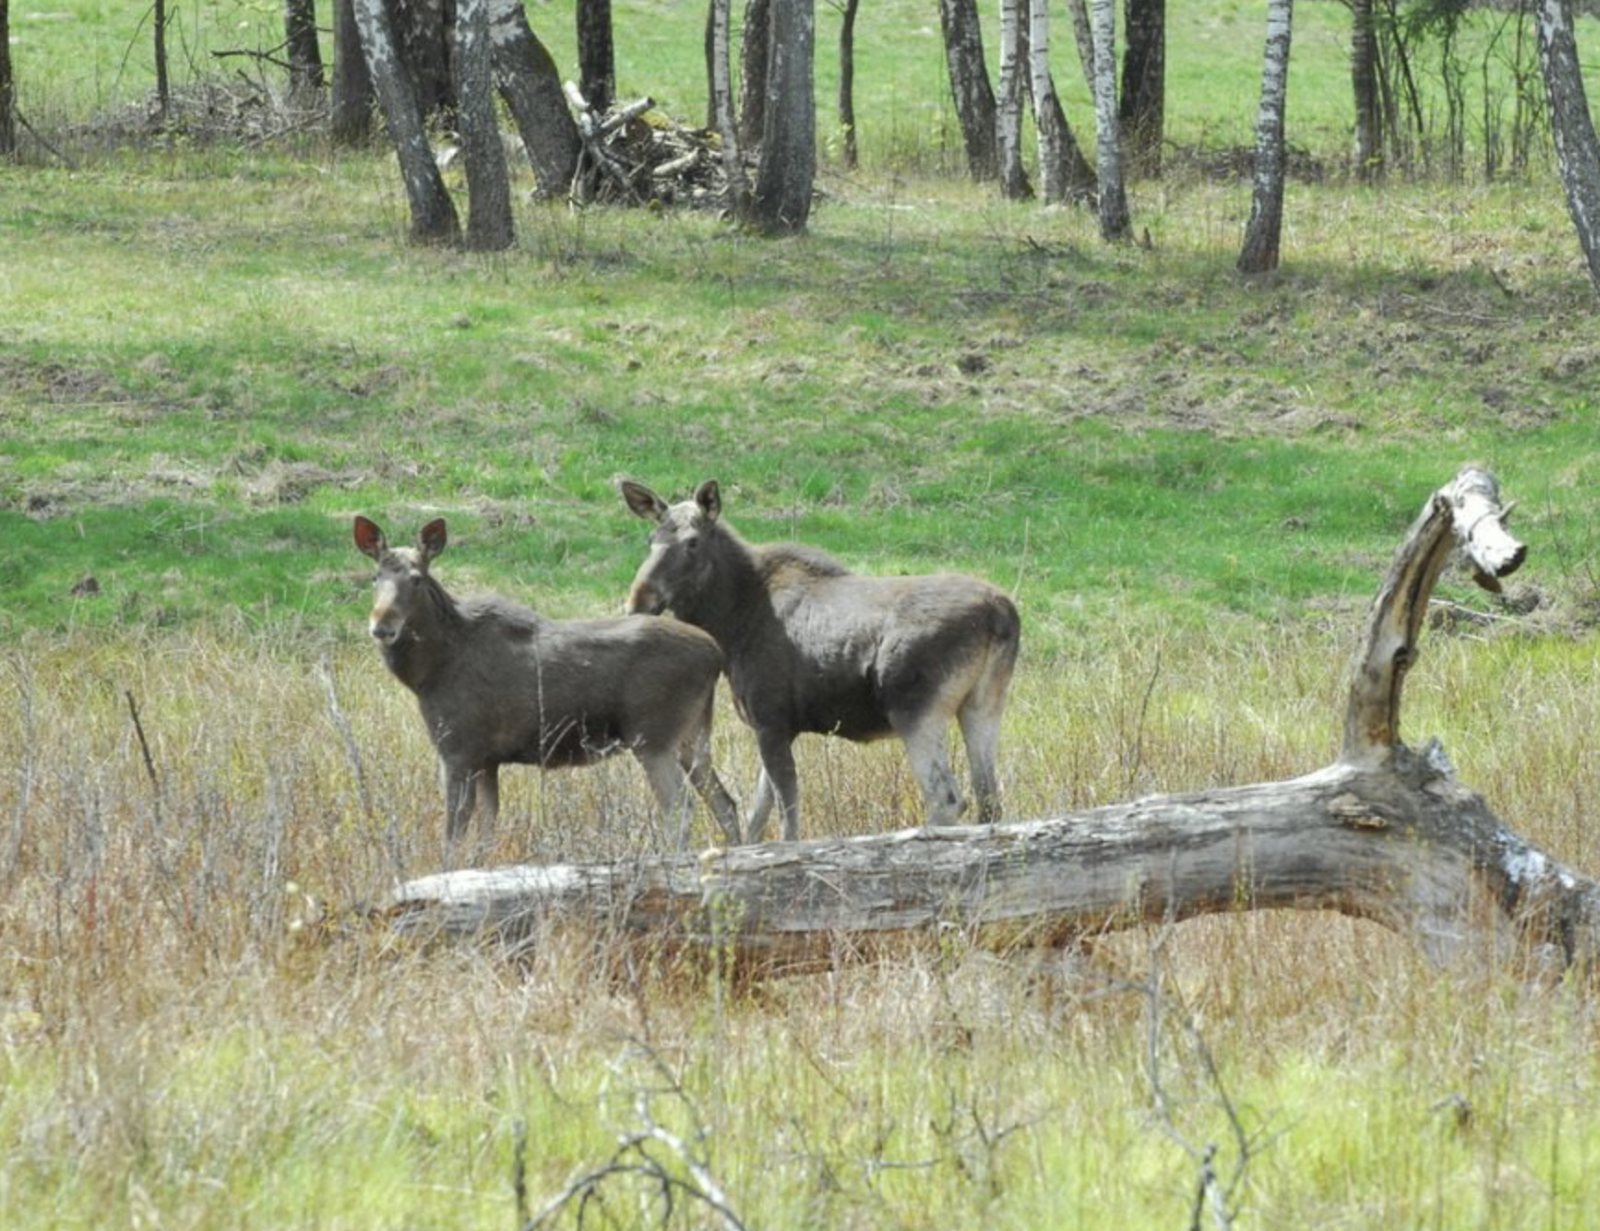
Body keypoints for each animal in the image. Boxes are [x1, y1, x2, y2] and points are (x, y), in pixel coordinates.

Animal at [353, 515, 743, 851]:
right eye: (375, 577)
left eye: (416, 578)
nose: (382, 626)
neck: (428, 673)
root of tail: (715, 654)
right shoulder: (487, 758)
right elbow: (485, 833)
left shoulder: (457, 749)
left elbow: (453, 836)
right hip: (692, 736)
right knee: (725, 803)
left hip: (653, 737)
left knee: (681, 809)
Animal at [618, 480, 1021, 842]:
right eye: (650, 540)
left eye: (692, 542)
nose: (638, 600)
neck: (729, 623)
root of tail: (1003, 615)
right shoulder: (778, 726)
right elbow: (756, 818)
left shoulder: (771, 720)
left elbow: (787, 823)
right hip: (982, 706)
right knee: (989, 798)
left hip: (917, 711)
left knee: (947, 799)